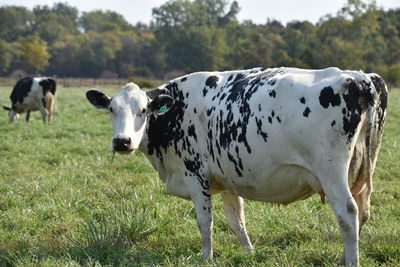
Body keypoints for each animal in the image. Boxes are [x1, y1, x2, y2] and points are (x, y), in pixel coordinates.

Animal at [85, 66, 388, 266]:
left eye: (143, 111)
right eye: (111, 109)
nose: (122, 141)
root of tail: (359, 77)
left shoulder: (195, 174)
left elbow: (205, 220)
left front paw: (205, 256)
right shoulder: (227, 178)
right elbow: (236, 220)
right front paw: (248, 253)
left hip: (331, 171)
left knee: (347, 213)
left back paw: (351, 261)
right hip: (362, 170)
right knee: (362, 212)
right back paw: (345, 257)